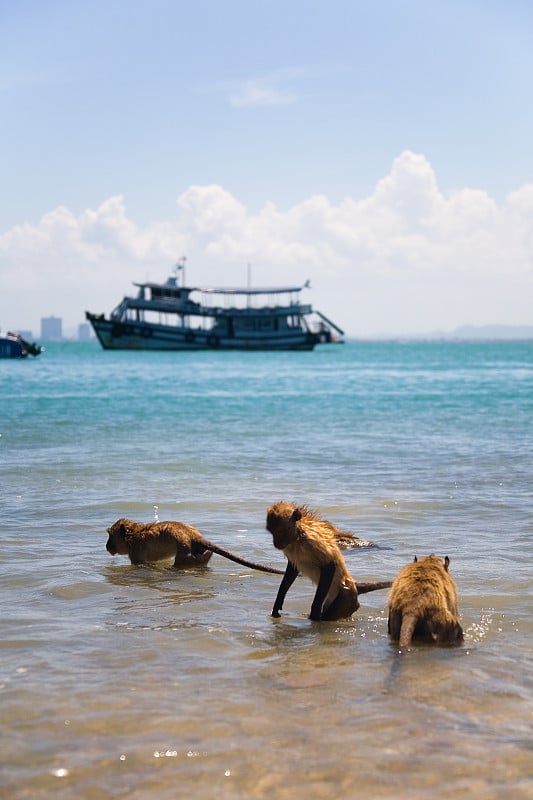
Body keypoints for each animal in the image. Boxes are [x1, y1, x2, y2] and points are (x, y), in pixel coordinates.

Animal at [105, 520, 284, 576]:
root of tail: (194, 535)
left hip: (183, 548)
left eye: (110, 537)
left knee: (181, 562)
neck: (134, 534)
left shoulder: (135, 553)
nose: (107, 546)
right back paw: (207, 556)